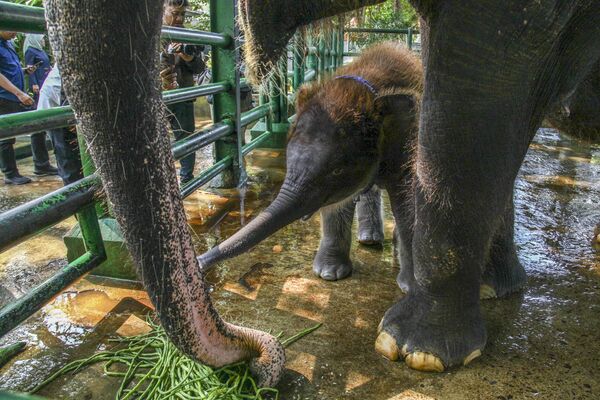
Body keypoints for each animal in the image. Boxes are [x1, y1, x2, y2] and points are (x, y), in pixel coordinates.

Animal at [231, 0, 600, 376]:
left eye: (336, 170)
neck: (367, 85)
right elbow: (341, 203)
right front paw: (330, 276)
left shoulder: (408, 138)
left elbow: (409, 199)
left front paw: (406, 287)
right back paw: (371, 240)